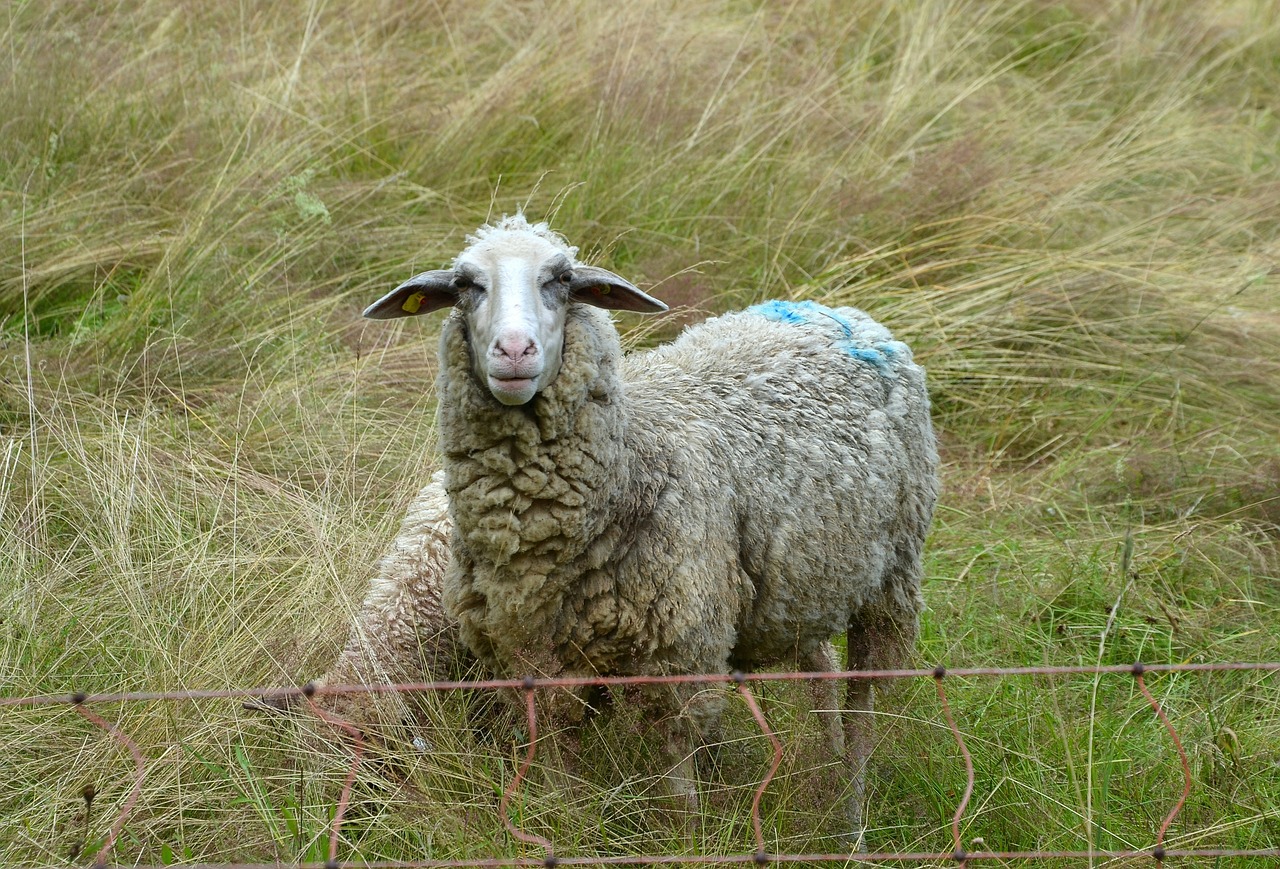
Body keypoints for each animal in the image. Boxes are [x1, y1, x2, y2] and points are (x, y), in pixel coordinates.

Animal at [360, 216, 942, 844]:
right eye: (467, 285)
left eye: (562, 279)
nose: (515, 351)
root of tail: (836, 311)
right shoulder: (538, 664)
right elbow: (558, 773)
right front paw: (564, 830)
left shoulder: (679, 656)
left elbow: (677, 787)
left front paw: (688, 842)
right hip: (802, 577)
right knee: (822, 668)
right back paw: (826, 773)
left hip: (890, 580)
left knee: (862, 699)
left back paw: (849, 817)